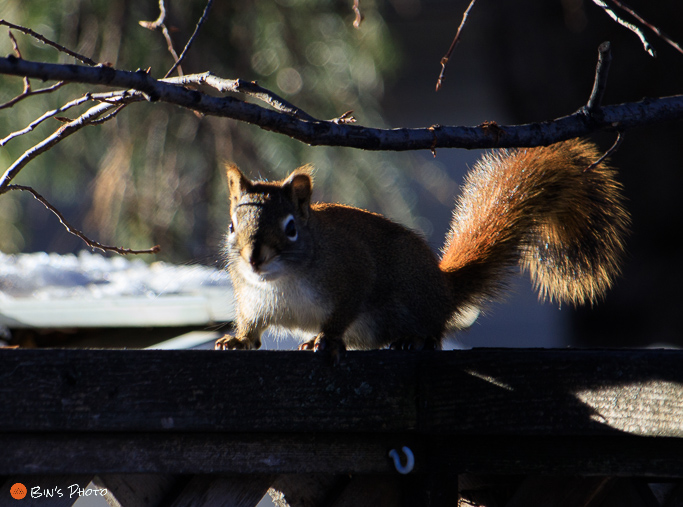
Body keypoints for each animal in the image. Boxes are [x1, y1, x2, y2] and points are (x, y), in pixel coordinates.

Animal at [218, 138, 632, 354]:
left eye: (290, 229)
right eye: (232, 225)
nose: (254, 258)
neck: (280, 281)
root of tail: (444, 290)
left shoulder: (352, 273)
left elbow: (342, 313)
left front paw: (326, 339)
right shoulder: (251, 299)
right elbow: (251, 326)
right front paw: (237, 340)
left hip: (414, 296)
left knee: (435, 333)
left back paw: (413, 339)